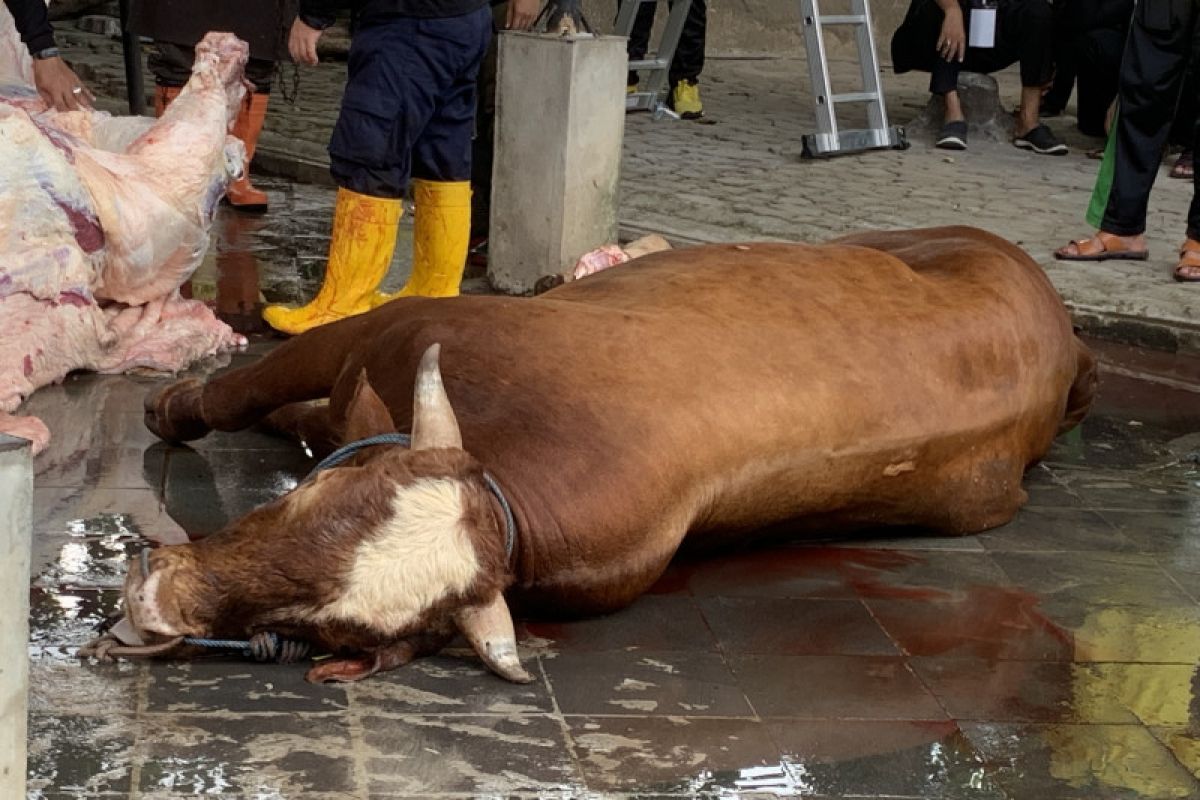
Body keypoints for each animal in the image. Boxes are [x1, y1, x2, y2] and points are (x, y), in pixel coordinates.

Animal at [88, 227, 1094, 686]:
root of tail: (1063, 330)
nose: (151, 595)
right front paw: (170, 404)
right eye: (294, 508)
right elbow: (240, 391)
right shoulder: (390, 328)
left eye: (336, 631)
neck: (510, 495)